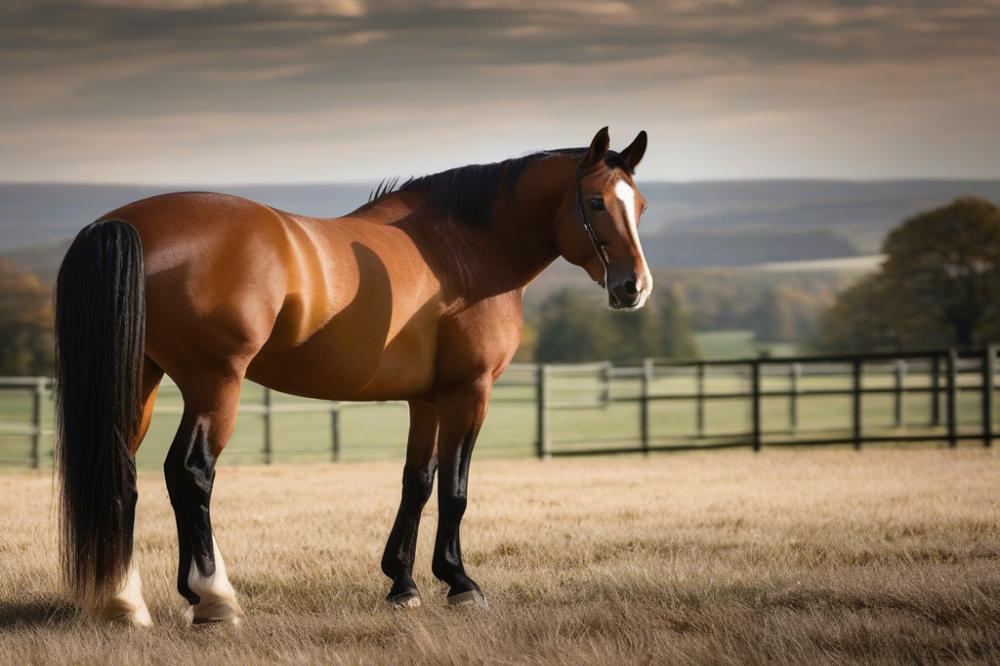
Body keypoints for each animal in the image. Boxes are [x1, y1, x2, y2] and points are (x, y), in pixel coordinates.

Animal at [54, 126, 652, 628]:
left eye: (640, 205)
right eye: (595, 202)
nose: (634, 287)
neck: (462, 249)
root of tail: (125, 224)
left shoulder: (427, 400)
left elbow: (419, 482)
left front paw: (403, 584)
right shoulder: (469, 392)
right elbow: (456, 489)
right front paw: (460, 582)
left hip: (141, 379)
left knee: (124, 473)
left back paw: (123, 604)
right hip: (214, 382)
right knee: (190, 473)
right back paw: (213, 598)